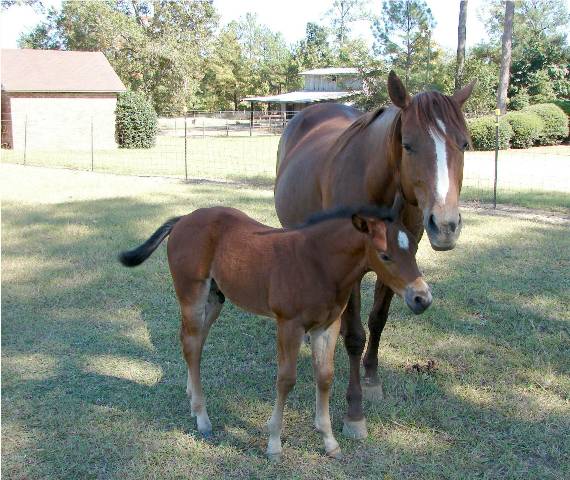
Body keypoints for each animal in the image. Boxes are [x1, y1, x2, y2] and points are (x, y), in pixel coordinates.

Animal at [120, 198, 430, 458]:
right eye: (385, 255)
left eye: (414, 249)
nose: (422, 298)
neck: (317, 263)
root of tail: (183, 219)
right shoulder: (289, 324)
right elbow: (286, 380)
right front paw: (274, 444)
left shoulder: (327, 326)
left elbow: (325, 377)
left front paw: (329, 441)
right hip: (191, 294)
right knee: (192, 342)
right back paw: (202, 417)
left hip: (216, 297)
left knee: (192, 340)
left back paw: (191, 394)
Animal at [272, 69, 472, 440]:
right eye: (408, 145)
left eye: (464, 144)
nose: (446, 225)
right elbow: (354, 336)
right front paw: (354, 412)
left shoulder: (399, 262)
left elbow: (378, 321)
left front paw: (373, 379)